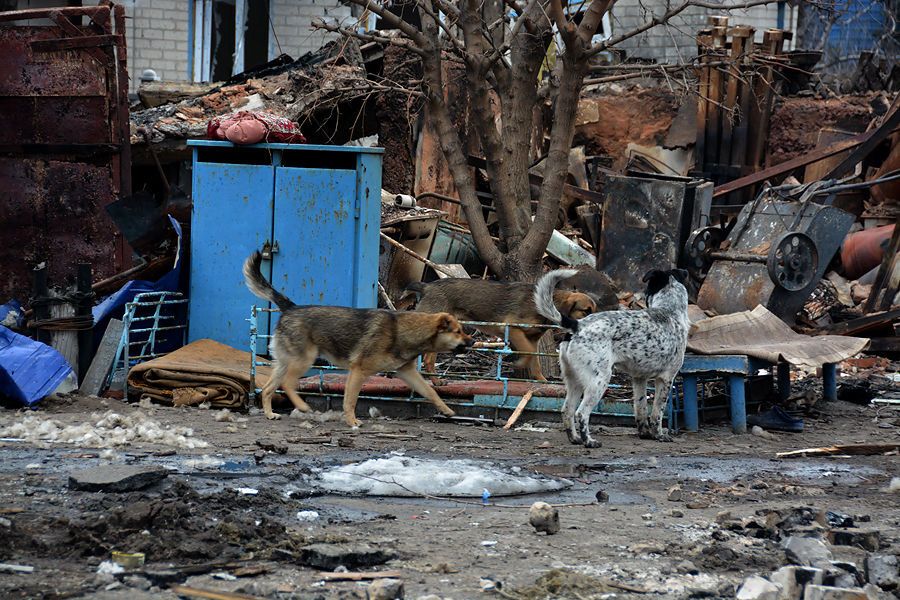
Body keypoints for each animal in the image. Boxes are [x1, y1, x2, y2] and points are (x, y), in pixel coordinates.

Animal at [243, 252, 474, 426]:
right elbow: (350, 401)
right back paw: (301, 406)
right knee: (288, 384)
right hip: (304, 360)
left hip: (285, 362)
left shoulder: (408, 373)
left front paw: (446, 410)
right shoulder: (359, 372)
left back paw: (269, 414)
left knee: (268, 389)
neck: (404, 330)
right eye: (458, 331)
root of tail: (291, 307)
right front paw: (352, 421)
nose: (473, 342)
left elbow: (431, 392)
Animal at [402, 276, 596, 380]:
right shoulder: (512, 328)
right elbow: (527, 353)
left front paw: (541, 381)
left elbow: (535, 360)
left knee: (428, 359)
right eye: (586, 311)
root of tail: (426, 286)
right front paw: (521, 364)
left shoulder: (532, 340)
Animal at [536, 270, 688, 448]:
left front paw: (645, 434)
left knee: (567, 410)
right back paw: (589, 441)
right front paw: (659, 435)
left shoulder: (639, 379)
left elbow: (641, 408)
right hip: (599, 380)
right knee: (581, 413)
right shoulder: (666, 379)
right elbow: (657, 412)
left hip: (575, 381)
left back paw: (575, 438)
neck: (669, 311)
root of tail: (577, 326)